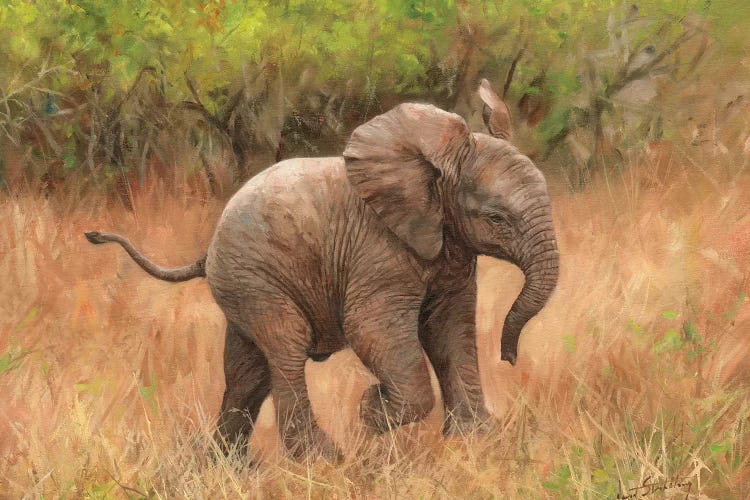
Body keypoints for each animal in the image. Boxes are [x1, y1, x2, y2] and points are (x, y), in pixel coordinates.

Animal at [85, 80, 559, 459]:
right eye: (496, 218)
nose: (509, 357)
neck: (433, 168)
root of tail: (209, 247)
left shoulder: (450, 250)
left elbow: (450, 330)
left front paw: (475, 443)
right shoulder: (378, 250)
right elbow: (371, 329)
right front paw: (371, 412)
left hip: (242, 284)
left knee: (247, 371)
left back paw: (227, 466)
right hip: (255, 280)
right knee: (285, 347)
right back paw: (322, 459)